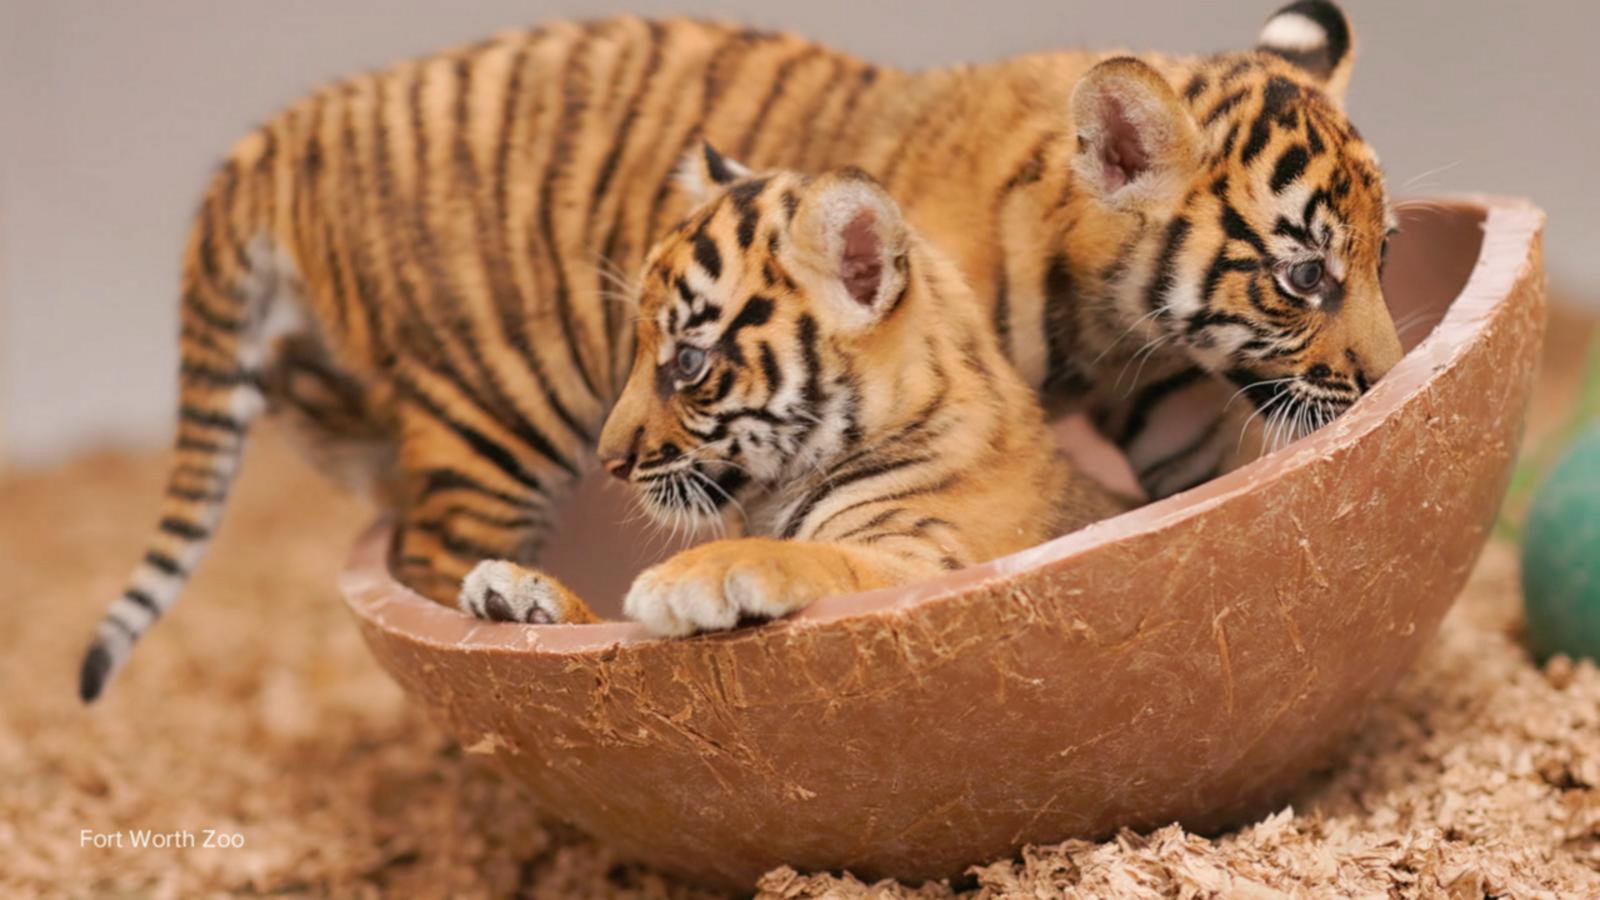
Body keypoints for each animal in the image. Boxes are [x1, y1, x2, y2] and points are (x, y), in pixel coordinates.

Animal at [459, 152, 1126, 631]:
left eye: (688, 361)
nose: (611, 461)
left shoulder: (934, 563)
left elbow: (828, 559)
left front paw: (696, 575)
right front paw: (519, 595)